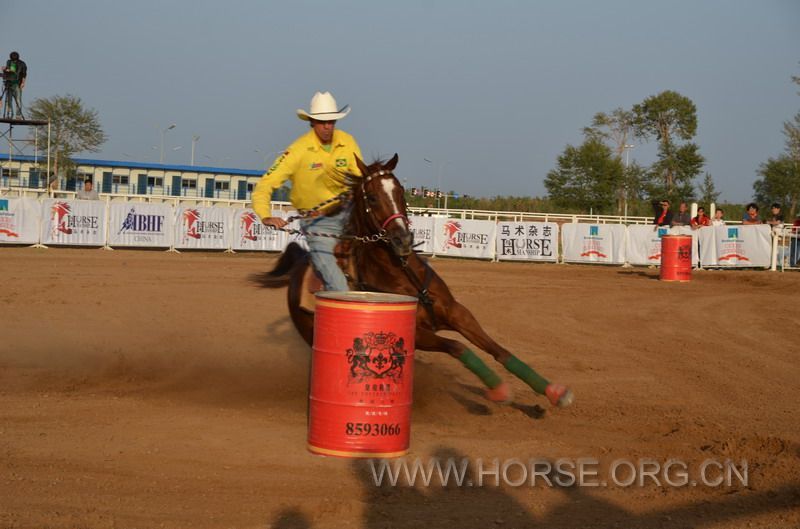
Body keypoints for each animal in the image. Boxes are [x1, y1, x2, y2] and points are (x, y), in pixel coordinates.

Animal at [260, 155, 572, 406]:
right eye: (371, 197)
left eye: (400, 191)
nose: (402, 239)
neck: (401, 272)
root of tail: (300, 261)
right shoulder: (418, 333)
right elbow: (459, 347)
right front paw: (499, 390)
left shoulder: (456, 312)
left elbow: (500, 351)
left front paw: (554, 392)